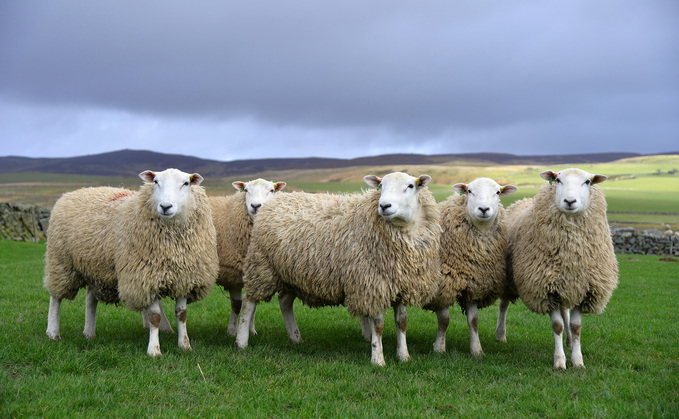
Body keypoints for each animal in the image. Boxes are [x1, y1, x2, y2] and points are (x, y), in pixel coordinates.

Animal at [43, 168, 219, 358]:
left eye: (186, 183)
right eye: (155, 181)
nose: (165, 207)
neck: (172, 248)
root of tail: (72, 193)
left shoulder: (185, 279)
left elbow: (182, 314)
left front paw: (185, 345)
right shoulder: (146, 279)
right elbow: (154, 317)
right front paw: (154, 350)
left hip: (95, 267)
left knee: (90, 299)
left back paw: (89, 333)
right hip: (60, 262)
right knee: (56, 298)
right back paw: (53, 333)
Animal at [212, 179, 286, 336]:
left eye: (271, 190)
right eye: (246, 190)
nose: (256, 206)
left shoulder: (255, 272)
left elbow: (254, 304)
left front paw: (251, 330)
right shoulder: (233, 273)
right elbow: (237, 304)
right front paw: (232, 330)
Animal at [236, 172, 444, 366]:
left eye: (410, 186)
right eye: (381, 186)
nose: (384, 206)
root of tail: (273, 203)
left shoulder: (400, 284)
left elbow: (402, 322)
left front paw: (404, 356)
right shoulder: (371, 285)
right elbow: (378, 326)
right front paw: (378, 360)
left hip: (290, 273)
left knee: (284, 302)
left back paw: (295, 337)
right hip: (261, 266)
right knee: (248, 302)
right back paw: (241, 341)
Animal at [428, 179, 516, 356]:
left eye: (498, 192)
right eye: (469, 191)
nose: (483, 209)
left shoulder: (474, 285)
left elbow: (473, 321)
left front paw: (477, 350)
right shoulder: (443, 286)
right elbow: (444, 320)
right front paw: (439, 348)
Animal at [496, 169, 620, 370]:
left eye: (587, 181)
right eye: (558, 180)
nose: (569, 201)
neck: (571, 256)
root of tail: (522, 200)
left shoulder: (584, 289)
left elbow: (576, 327)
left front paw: (577, 360)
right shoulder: (546, 290)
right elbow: (557, 326)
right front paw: (560, 361)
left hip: (565, 284)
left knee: (565, 312)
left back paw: (569, 341)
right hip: (508, 278)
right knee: (504, 304)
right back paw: (500, 334)